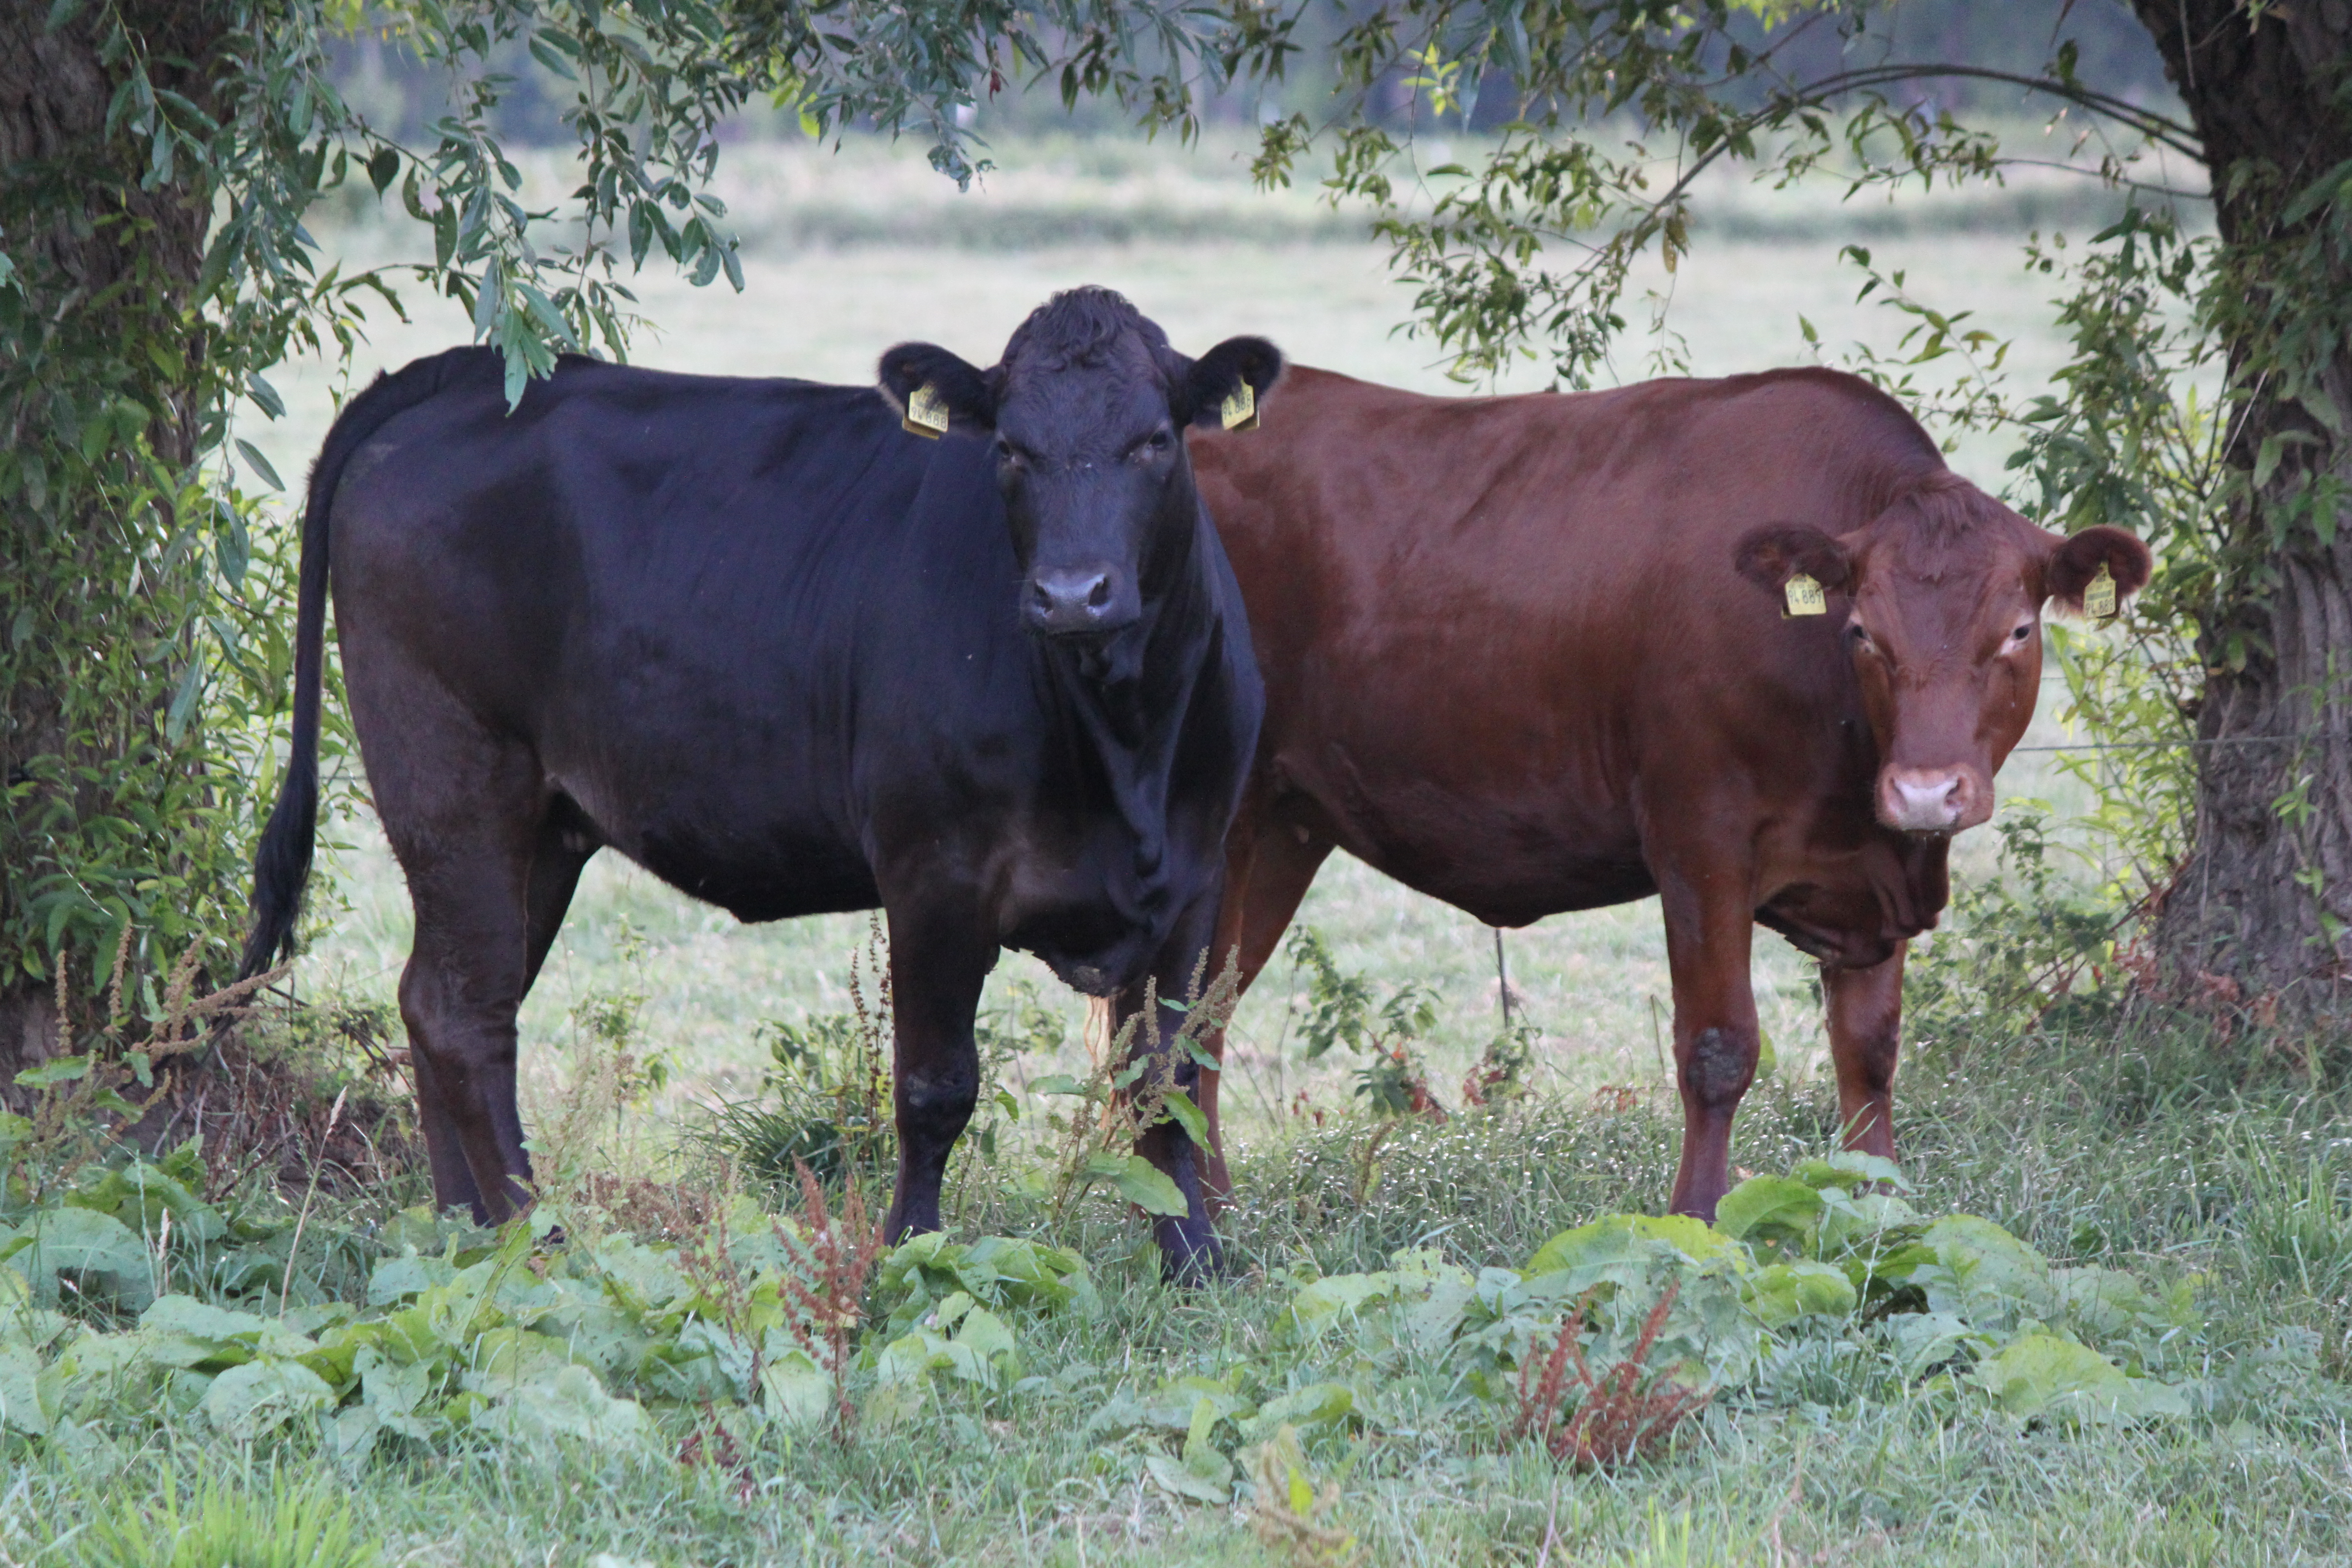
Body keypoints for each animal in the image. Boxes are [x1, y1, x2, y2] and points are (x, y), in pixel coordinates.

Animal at [245, 291, 1279, 1278]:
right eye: (1012, 450)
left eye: (1154, 440)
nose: (1072, 593)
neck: (1122, 746)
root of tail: (466, 375)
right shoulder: (933, 870)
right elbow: (936, 1086)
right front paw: (913, 1252)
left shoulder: (1194, 875)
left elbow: (1168, 1084)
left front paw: (1193, 1256)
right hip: (453, 779)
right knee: (465, 1014)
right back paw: (535, 1237)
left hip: (539, 827)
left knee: (439, 996)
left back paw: (466, 1231)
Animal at [1195, 362, 2154, 1222]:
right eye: (1861, 632)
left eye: (2018, 630)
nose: (1924, 792)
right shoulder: (1700, 838)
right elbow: (1718, 1047)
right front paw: (1695, 1216)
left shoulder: (1875, 876)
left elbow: (1870, 1054)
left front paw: (1883, 1210)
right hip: (1218, 822)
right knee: (1182, 1019)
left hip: (1284, 826)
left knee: (1196, 1019)